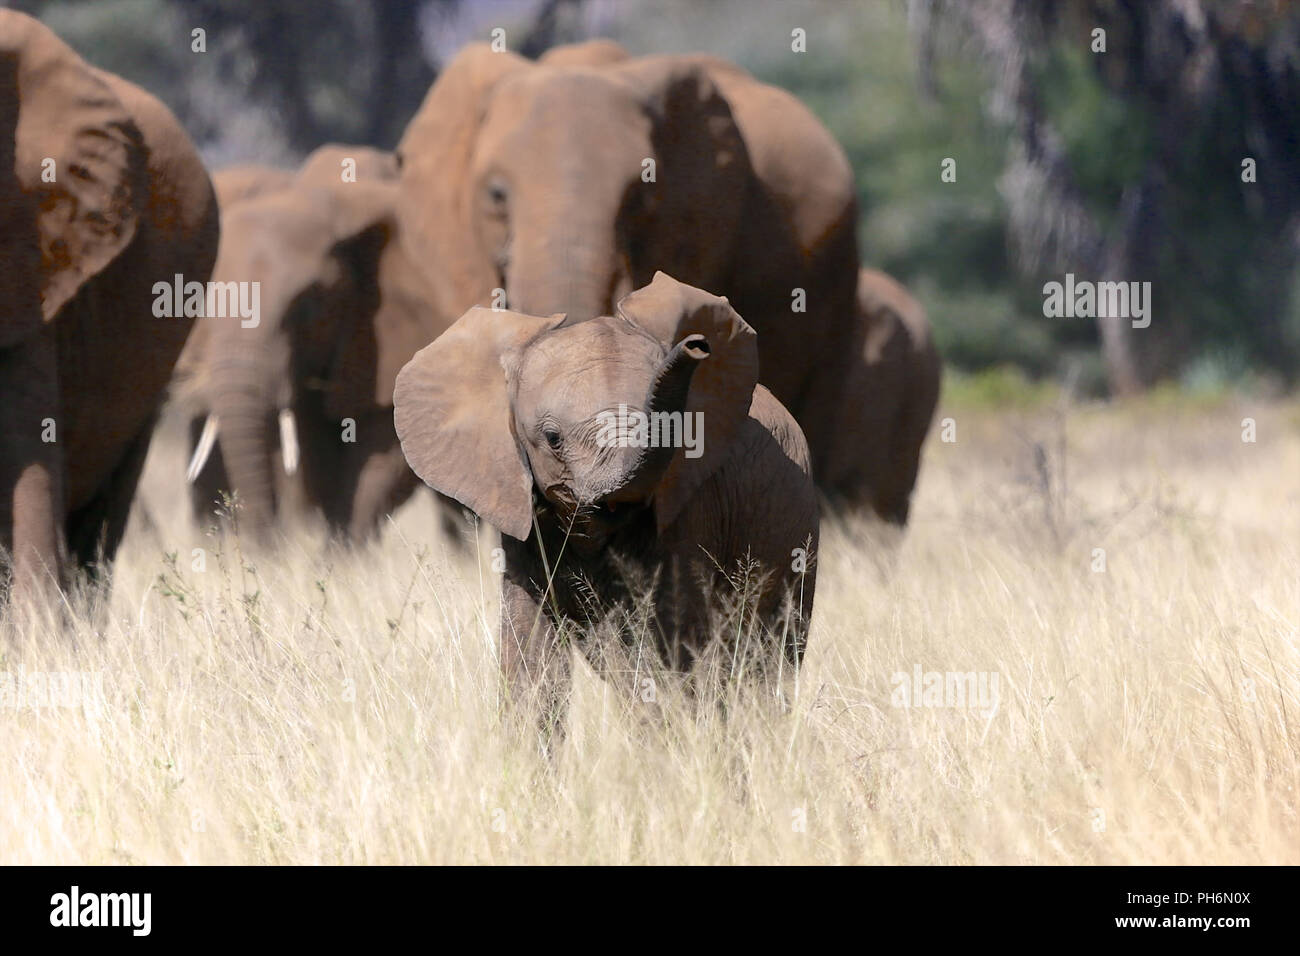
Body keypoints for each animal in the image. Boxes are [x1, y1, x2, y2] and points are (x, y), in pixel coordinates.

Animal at [390, 273, 816, 712]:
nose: (696, 344)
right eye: (552, 438)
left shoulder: (689, 507)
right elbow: (531, 656)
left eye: (675, 427)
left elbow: (665, 646)